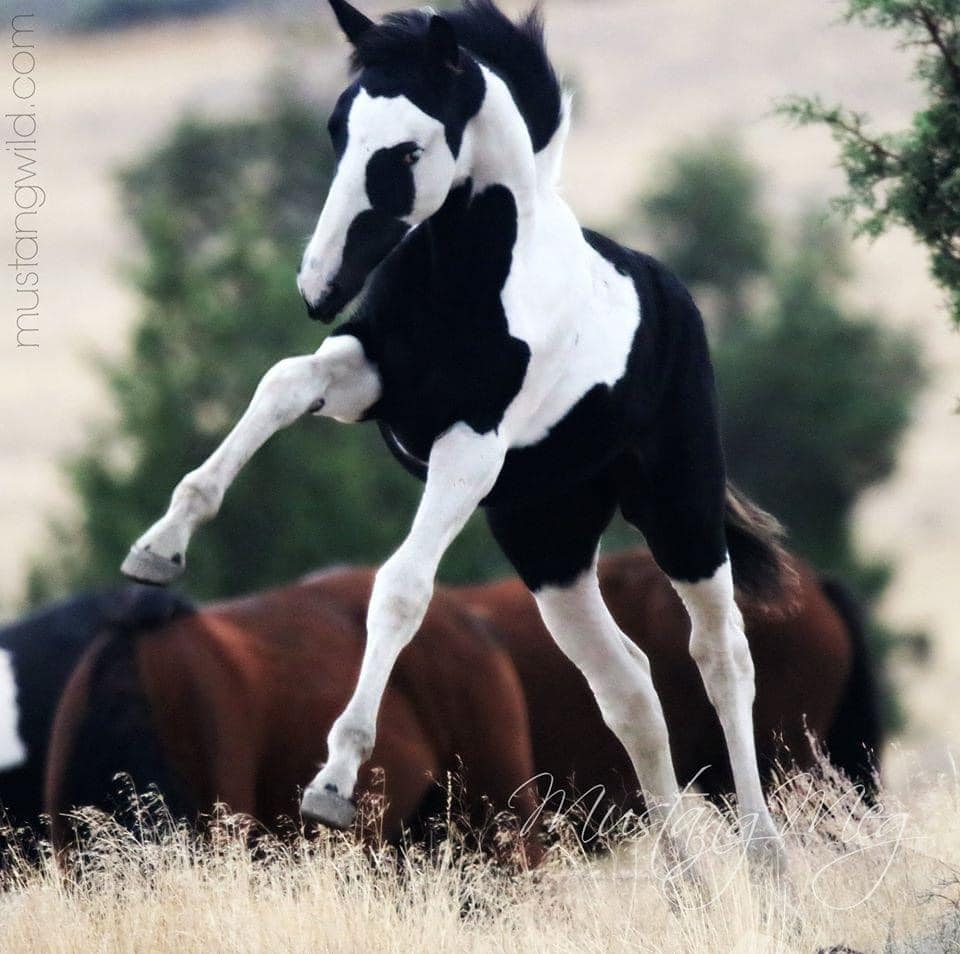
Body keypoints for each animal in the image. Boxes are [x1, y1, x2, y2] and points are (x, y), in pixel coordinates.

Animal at [119, 0, 789, 873]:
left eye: (406, 149)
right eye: (337, 128)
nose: (318, 287)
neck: (465, 281)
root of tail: (667, 291)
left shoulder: (470, 448)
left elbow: (401, 589)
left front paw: (333, 781)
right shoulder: (364, 375)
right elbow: (281, 382)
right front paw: (157, 549)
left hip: (679, 514)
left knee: (721, 656)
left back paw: (765, 858)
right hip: (550, 548)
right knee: (630, 687)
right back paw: (684, 879)